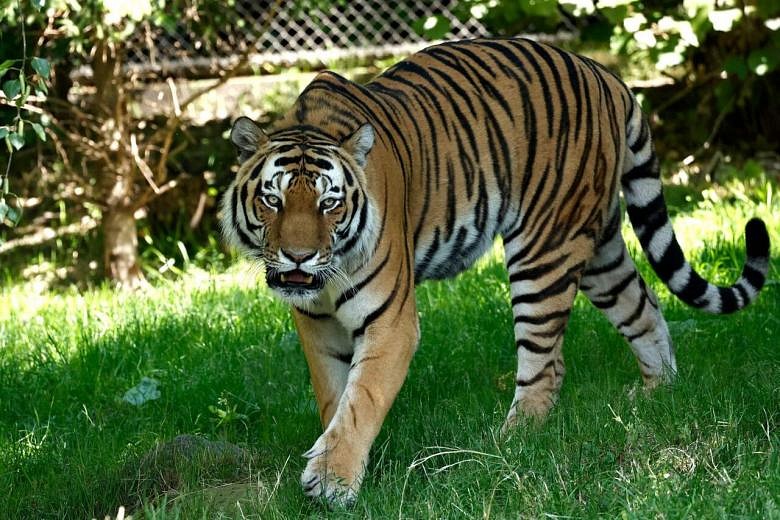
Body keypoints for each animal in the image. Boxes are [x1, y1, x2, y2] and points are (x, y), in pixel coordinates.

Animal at [218, 37, 768, 508]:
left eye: (330, 203)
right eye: (273, 200)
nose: (298, 257)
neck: (324, 283)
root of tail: (603, 73)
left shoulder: (391, 321)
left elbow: (362, 397)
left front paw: (333, 481)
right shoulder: (315, 323)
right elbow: (335, 396)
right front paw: (337, 460)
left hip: (545, 246)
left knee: (547, 363)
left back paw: (508, 444)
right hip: (599, 246)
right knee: (645, 307)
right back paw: (656, 397)